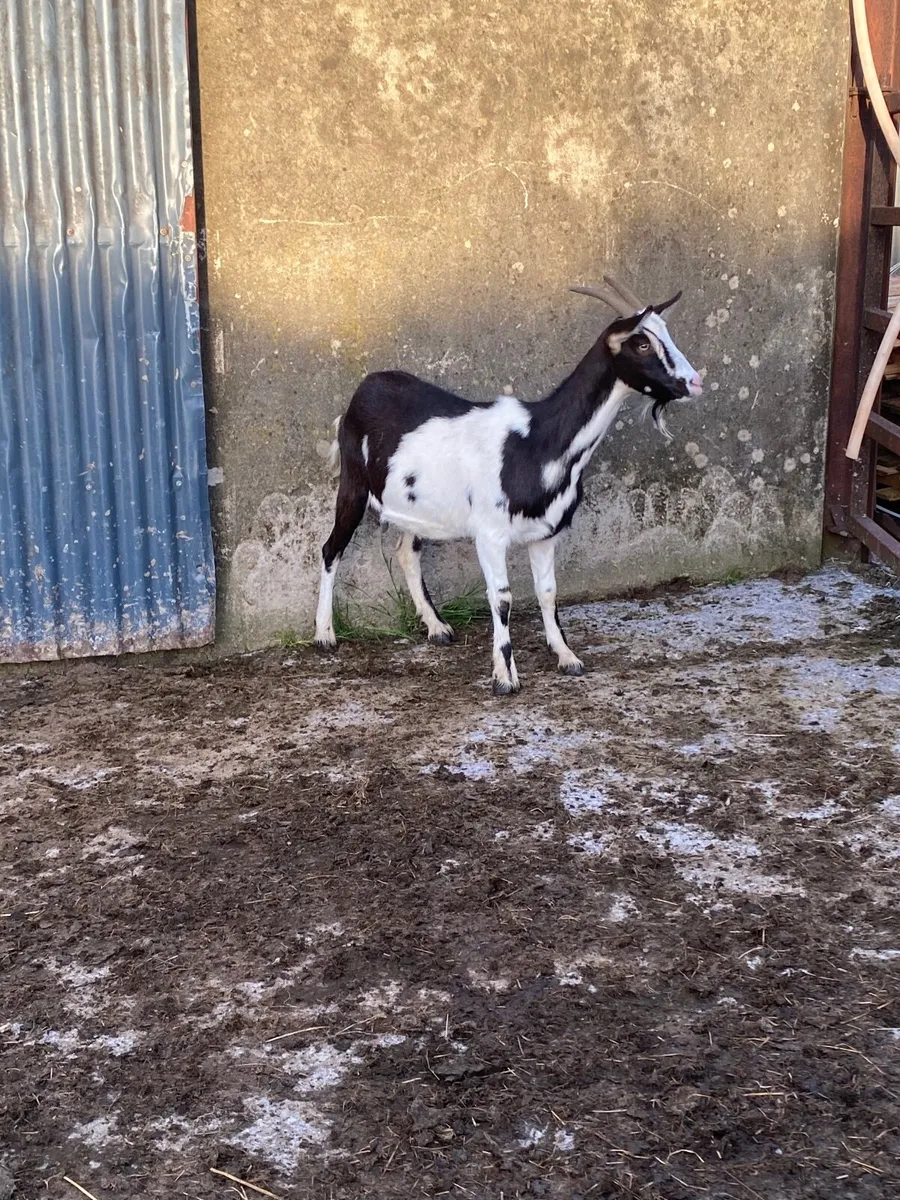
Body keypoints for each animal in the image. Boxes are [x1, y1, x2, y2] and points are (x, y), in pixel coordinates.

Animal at [314, 274, 703, 694]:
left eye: (666, 333)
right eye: (642, 343)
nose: (695, 382)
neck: (538, 442)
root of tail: (363, 390)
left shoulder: (545, 534)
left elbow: (547, 592)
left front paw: (566, 656)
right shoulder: (490, 533)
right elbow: (501, 598)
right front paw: (505, 677)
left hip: (415, 505)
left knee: (406, 551)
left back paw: (437, 627)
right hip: (353, 484)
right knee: (331, 548)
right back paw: (324, 635)